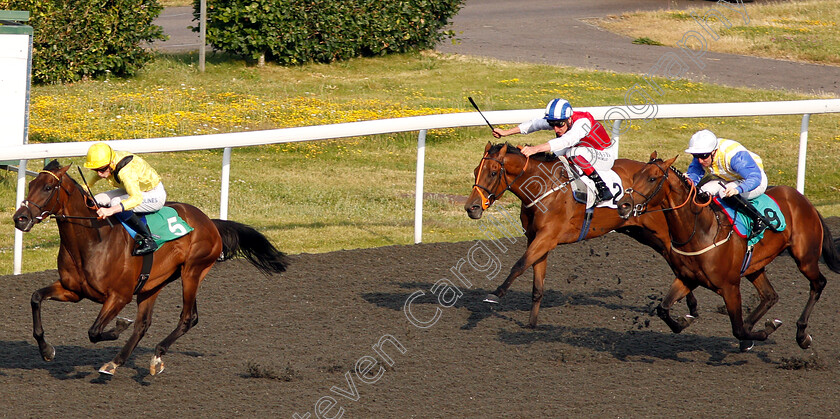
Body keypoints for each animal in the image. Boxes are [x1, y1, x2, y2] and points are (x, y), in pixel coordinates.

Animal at [12, 162, 288, 378]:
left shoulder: (119, 296)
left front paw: (119, 326)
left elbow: (95, 331)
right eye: (30, 184)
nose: (20, 218)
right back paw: (115, 363)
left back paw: (156, 355)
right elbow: (35, 297)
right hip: (153, 283)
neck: (93, 240)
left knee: (188, 318)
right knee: (144, 324)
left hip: (192, 272)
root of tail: (209, 221)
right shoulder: (73, 291)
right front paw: (46, 350)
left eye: (48, 187)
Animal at [466, 143, 704, 330]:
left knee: (678, 259)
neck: (543, 187)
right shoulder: (536, 239)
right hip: (643, 233)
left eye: (493, 173)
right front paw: (532, 324)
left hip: (664, 234)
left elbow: (519, 264)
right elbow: (537, 285)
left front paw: (495, 294)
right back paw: (691, 307)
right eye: (476, 170)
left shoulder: (547, 238)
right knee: (673, 260)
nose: (471, 208)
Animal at [612, 153, 840, 350]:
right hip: (754, 266)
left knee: (818, 284)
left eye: (652, 178)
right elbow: (663, 309)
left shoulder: (729, 286)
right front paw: (684, 320)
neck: (700, 231)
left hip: (805, 258)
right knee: (770, 296)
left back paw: (802, 335)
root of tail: (803, 199)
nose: (623, 205)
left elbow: (738, 329)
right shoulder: (687, 278)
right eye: (634, 176)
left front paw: (764, 331)